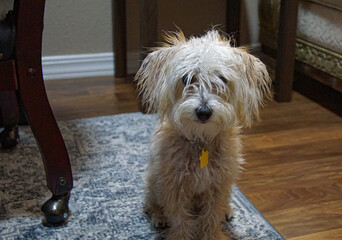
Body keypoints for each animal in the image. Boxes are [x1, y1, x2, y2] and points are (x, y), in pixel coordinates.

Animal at [135, 29, 272, 239]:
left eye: (222, 79)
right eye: (186, 79)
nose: (204, 112)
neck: (201, 140)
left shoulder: (219, 185)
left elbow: (211, 216)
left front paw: (212, 235)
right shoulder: (173, 186)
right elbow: (180, 219)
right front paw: (181, 236)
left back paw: (227, 210)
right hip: (153, 181)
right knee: (152, 204)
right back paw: (159, 217)